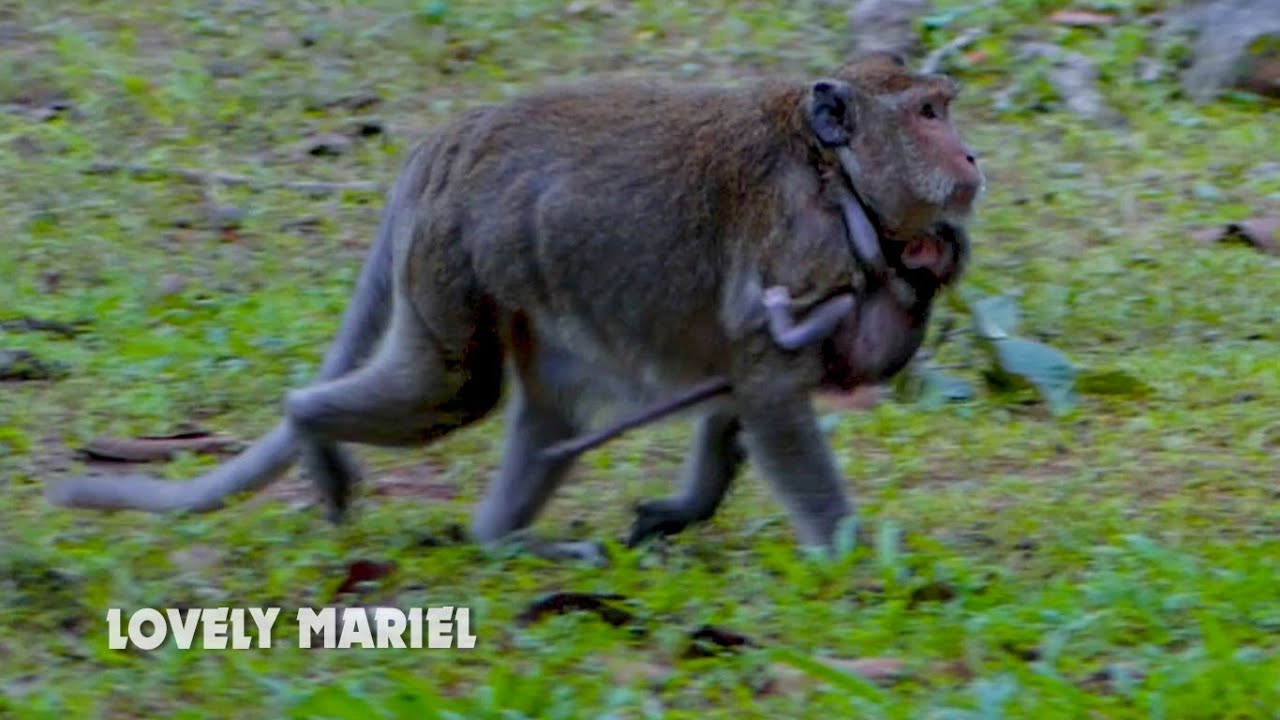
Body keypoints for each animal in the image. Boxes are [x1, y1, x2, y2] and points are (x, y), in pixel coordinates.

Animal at [47, 52, 984, 554]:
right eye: (928, 113)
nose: (972, 154)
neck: (834, 173)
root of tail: (441, 145)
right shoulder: (807, 243)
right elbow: (769, 387)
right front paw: (854, 555)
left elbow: (738, 391)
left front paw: (684, 507)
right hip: (451, 256)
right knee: (455, 389)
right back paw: (311, 423)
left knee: (551, 405)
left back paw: (500, 537)